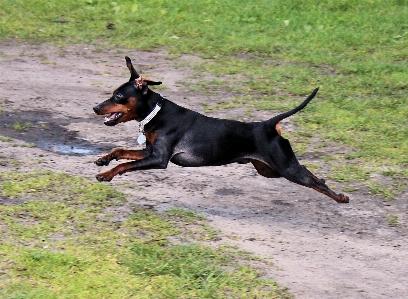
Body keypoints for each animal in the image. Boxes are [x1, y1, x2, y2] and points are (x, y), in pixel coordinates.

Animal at [94, 56, 350, 204]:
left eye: (118, 96)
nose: (96, 107)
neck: (157, 113)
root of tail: (269, 125)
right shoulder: (149, 152)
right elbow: (120, 151)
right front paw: (104, 160)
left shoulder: (159, 159)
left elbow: (126, 165)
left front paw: (107, 174)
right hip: (269, 170)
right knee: (309, 172)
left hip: (285, 168)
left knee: (313, 180)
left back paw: (340, 198)